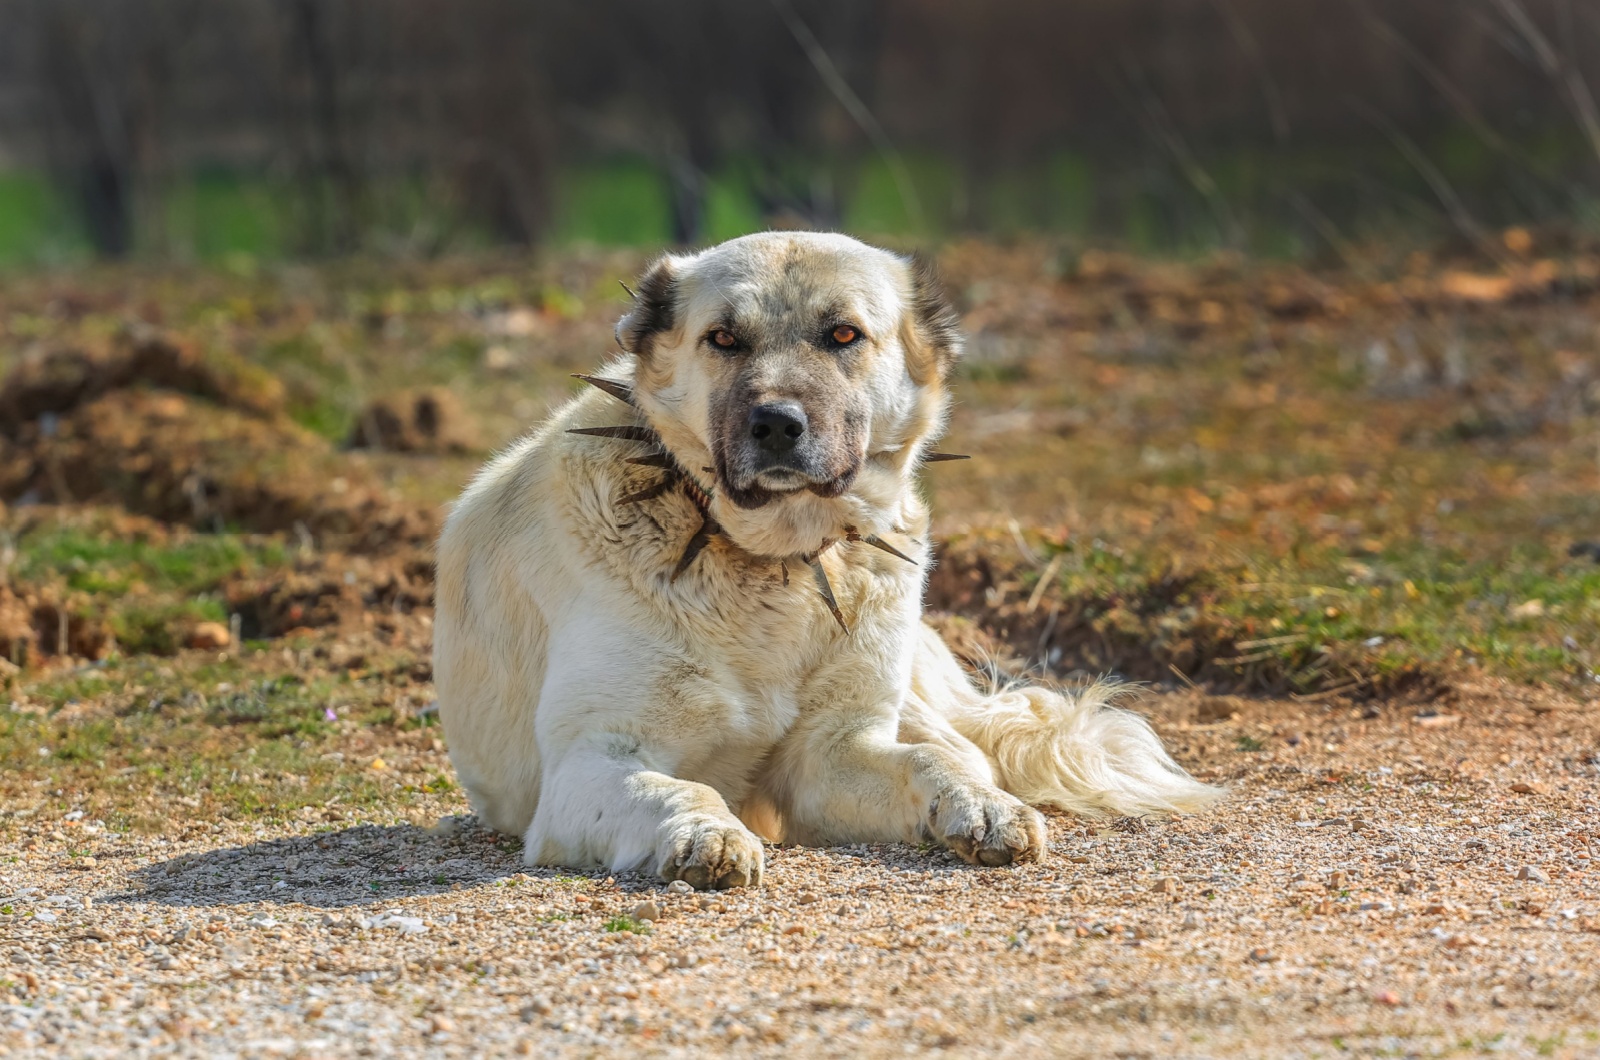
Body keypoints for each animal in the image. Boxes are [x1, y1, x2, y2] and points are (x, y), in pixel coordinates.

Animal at [432, 232, 1216, 890]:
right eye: (723, 339)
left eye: (843, 334)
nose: (777, 424)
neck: (766, 564)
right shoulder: (589, 762)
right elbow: (677, 786)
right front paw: (705, 833)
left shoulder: (833, 752)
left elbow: (924, 764)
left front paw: (980, 809)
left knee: (960, 746)